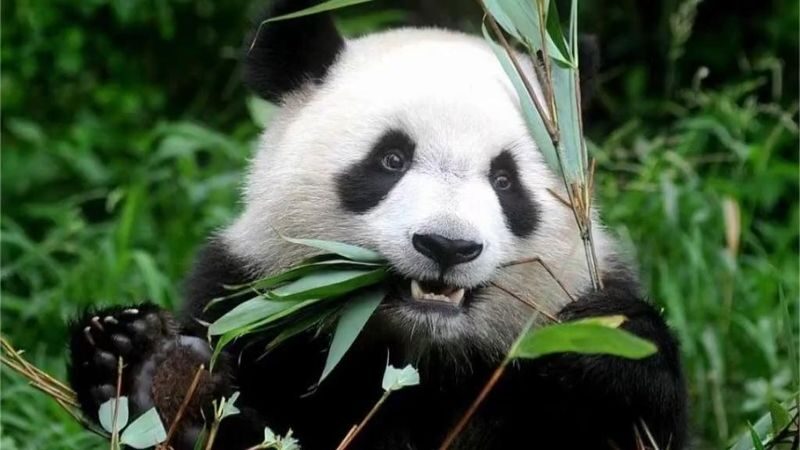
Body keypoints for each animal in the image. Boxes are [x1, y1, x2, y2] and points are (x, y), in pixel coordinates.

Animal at [67, 1, 688, 449]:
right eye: (391, 159)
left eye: (505, 180)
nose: (447, 245)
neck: (422, 352)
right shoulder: (244, 300)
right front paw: (136, 361)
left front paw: (610, 343)